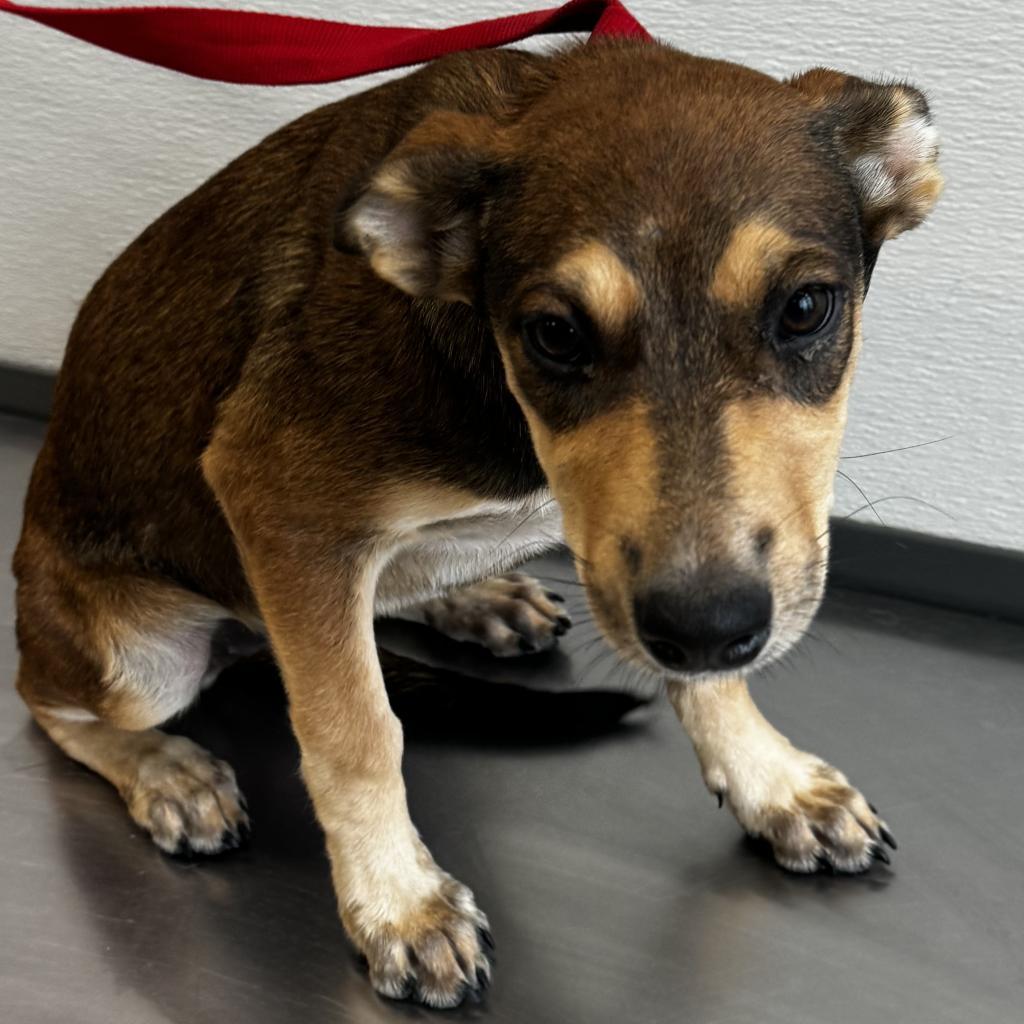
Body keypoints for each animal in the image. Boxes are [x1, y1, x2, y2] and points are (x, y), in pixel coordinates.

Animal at [14, 37, 942, 1007]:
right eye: (554, 334)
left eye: (804, 308)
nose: (706, 628)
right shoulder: (277, 501)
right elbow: (355, 731)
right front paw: (397, 901)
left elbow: (710, 678)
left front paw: (772, 783)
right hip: (135, 655)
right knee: (48, 702)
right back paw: (166, 771)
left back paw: (475, 598)